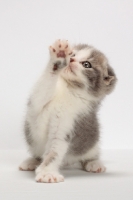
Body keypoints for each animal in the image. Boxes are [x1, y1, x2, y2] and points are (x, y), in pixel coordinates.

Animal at [19, 39, 117, 183]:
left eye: (86, 64)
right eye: (73, 54)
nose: (71, 59)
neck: (68, 88)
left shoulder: (70, 123)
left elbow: (55, 150)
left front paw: (47, 172)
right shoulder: (36, 108)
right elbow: (41, 92)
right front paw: (59, 57)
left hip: (92, 142)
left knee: (91, 154)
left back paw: (94, 163)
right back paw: (31, 161)